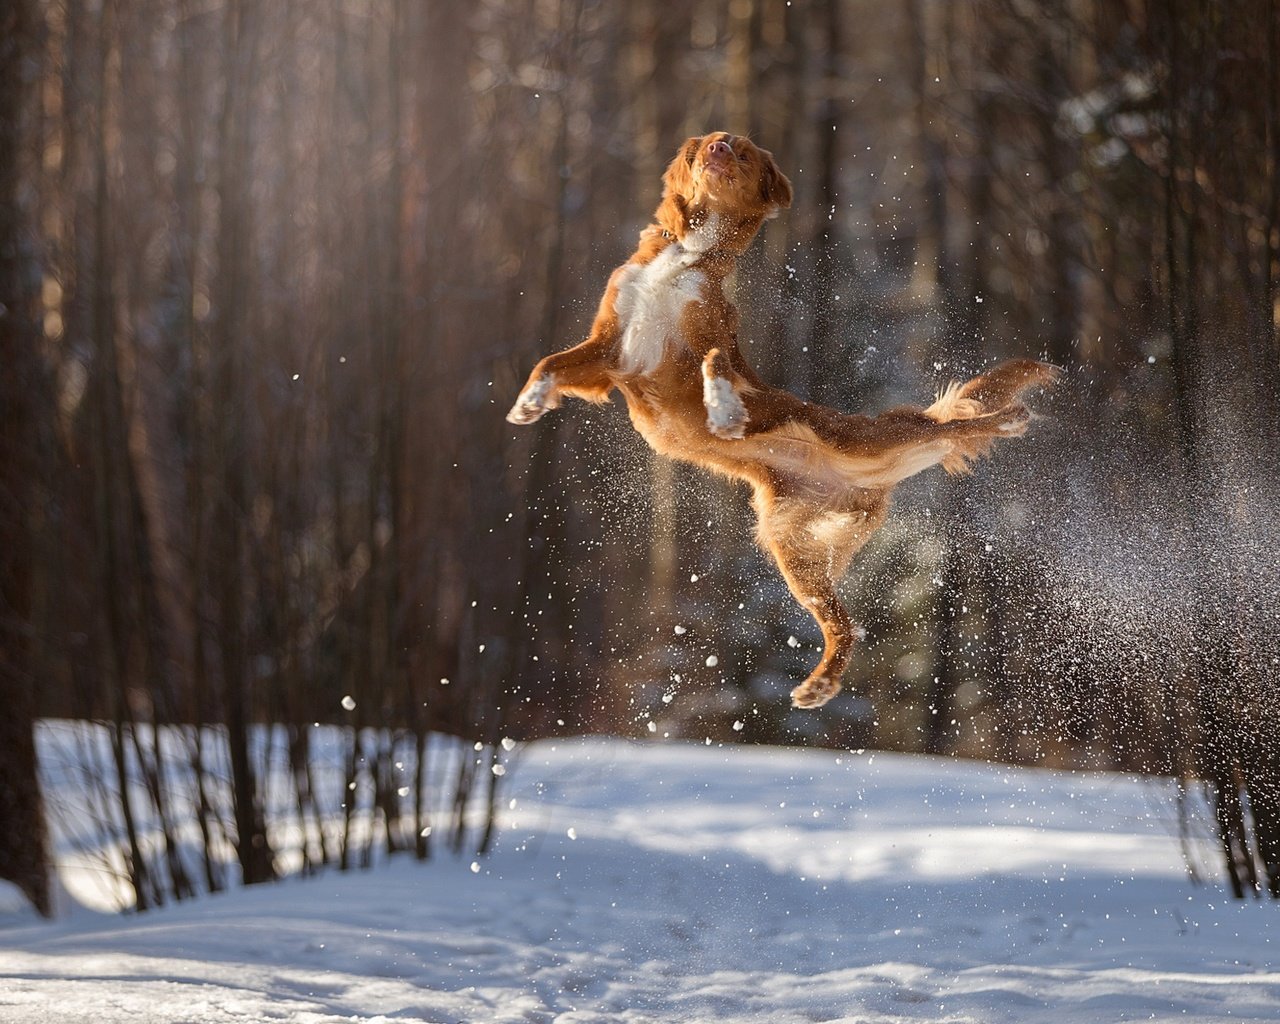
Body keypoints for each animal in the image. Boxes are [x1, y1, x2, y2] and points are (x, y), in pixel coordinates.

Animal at [504, 133, 1054, 711]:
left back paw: (1010, 418)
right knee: (846, 625)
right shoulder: (610, 350)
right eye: (711, 143)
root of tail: (863, 484)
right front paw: (529, 402)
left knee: (946, 428)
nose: (720, 149)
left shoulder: (707, 337)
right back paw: (820, 683)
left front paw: (725, 411)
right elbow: (549, 362)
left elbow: (715, 364)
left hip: (862, 440)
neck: (688, 254)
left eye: (743, 152)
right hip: (796, 556)